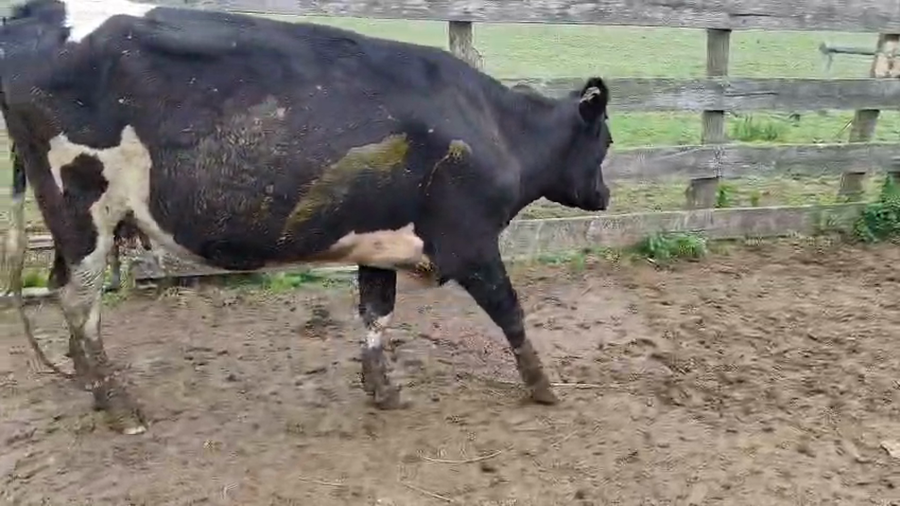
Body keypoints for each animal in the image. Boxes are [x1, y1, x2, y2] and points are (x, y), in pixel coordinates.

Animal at [0, 0, 613, 435]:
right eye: (605, 141)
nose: (605, 196)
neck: (492, 127)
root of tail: (33, 15)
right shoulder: (471, 242)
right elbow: (512, 313)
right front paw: (543, 385)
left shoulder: (379, 241)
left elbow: (376, 313)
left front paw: (381, 388)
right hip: (83, 204)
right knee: (80, 299)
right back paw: (118, 402)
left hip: (68, 219)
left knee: (60, 286)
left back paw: (87, 380)